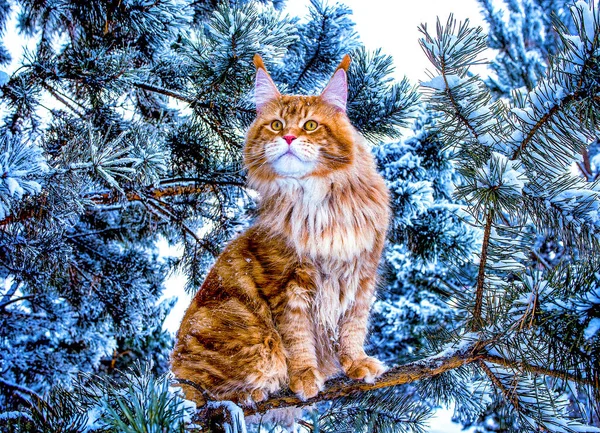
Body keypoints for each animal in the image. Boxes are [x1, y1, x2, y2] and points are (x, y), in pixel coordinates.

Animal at [171, 54, 392, 404]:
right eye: (276, 125)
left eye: (310, 125)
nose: (287, 138)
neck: (316, 204)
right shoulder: (285, 282)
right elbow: (296, 337)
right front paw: (304, 377)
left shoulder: (361, 276)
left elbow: (351, 329)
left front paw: (356, 363)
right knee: (209, 390)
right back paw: (255, 393)